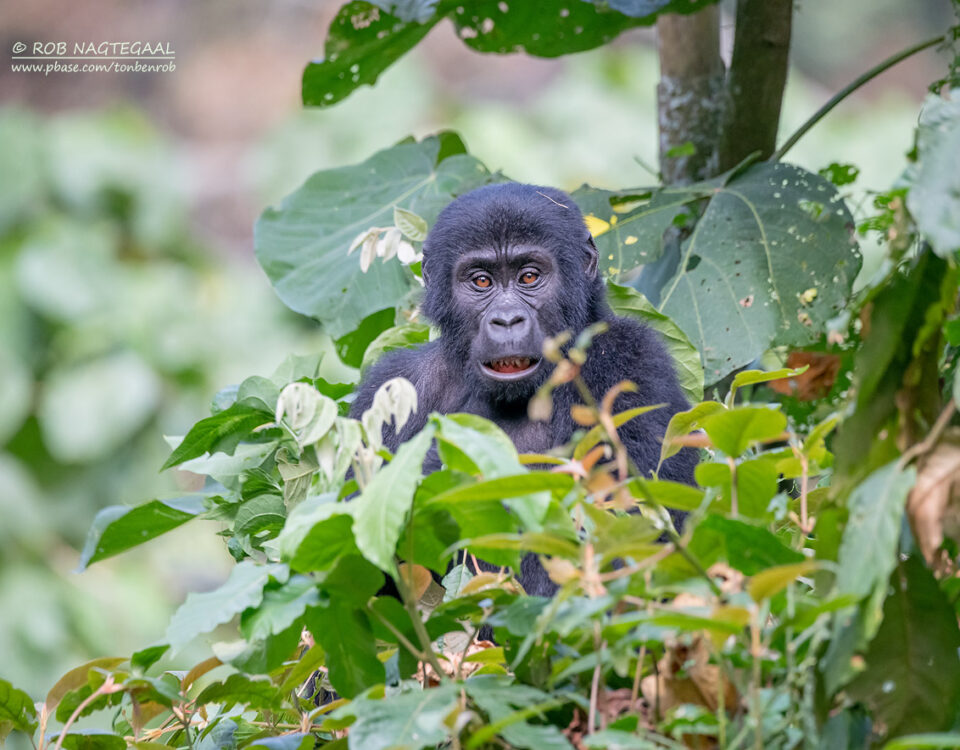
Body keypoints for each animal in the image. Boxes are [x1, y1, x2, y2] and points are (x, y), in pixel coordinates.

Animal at [348, 184, 692, 600]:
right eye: (481, 282)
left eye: (529, 276)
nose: (507, 319)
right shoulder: (393, 384)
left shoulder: (631, 358)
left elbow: (642, 533)